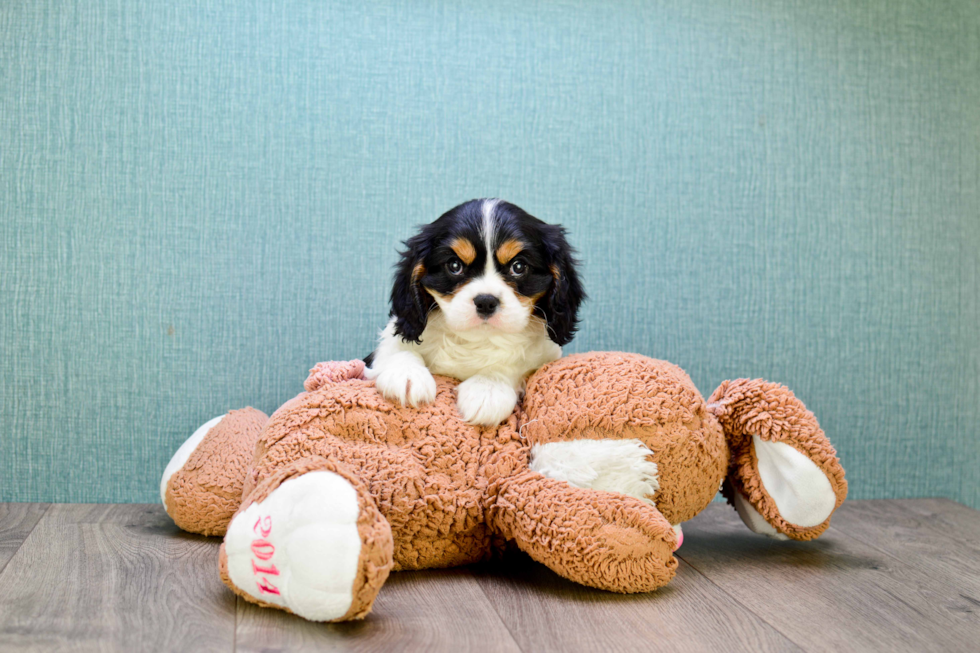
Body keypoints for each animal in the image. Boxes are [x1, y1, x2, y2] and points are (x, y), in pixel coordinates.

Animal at [366, 196, 580, 426]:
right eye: (454, 265)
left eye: (519, 266)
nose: (486, 301)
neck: (477, 339)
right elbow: (397, 347)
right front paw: (407, 374)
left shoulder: (545, 357)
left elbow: (515, 364)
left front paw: (487, 388)